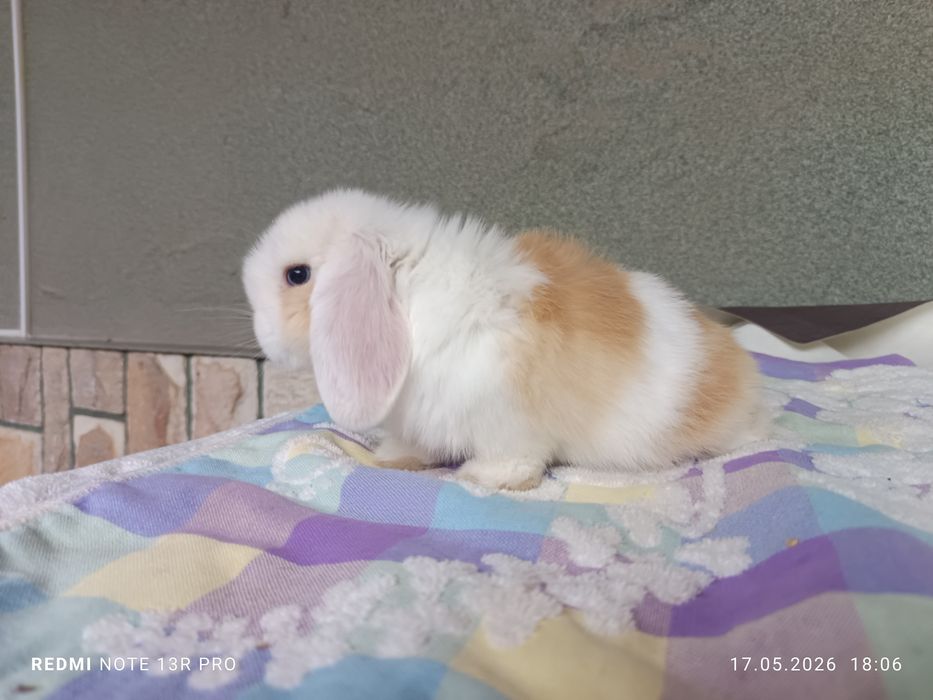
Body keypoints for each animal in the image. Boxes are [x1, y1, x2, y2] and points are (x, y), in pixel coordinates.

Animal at [242, 189, 765, 490]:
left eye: (297, 275)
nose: (263, 339)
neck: (408, 293)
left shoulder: (505, 418)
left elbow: (513, 459)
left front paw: (482, 478)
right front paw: (393, 458)